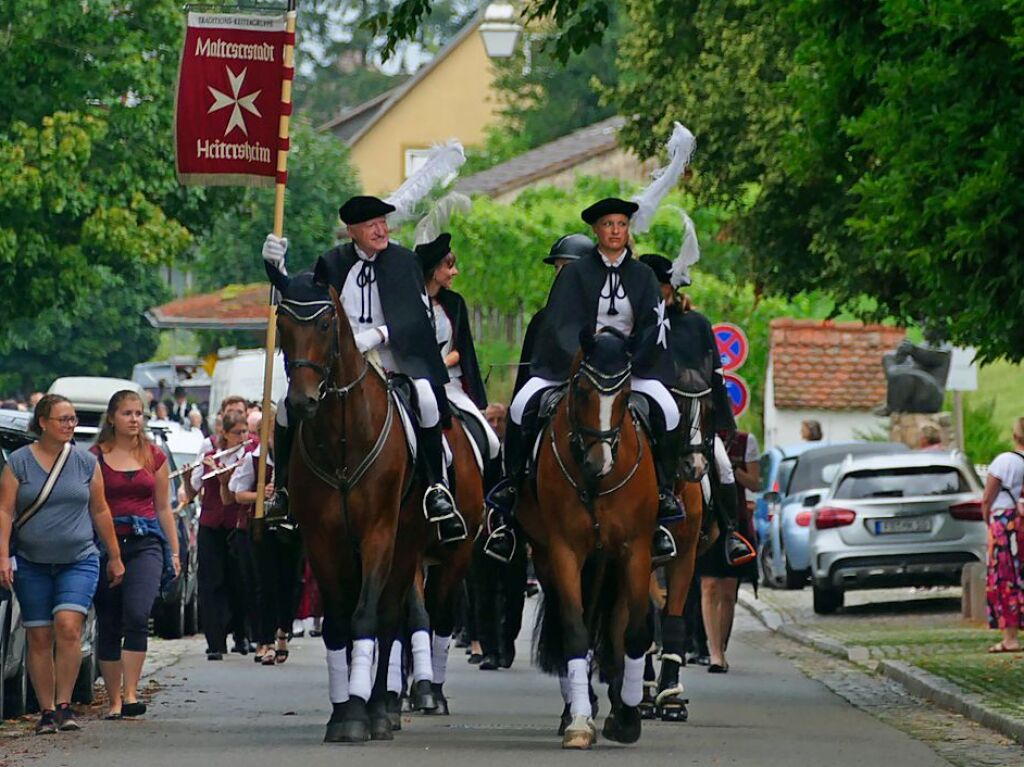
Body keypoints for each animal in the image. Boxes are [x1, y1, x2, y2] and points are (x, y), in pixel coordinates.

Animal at [520, 329, 655, 749]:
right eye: (581, 391)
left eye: (625, 395)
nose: (600, 464)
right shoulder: (564, 551)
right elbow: (576, 631)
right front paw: (579, 721)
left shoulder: (635, 550)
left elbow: (635, 632)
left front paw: (627, 716)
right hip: (554, 558)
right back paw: (576, 709)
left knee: (614, 626)